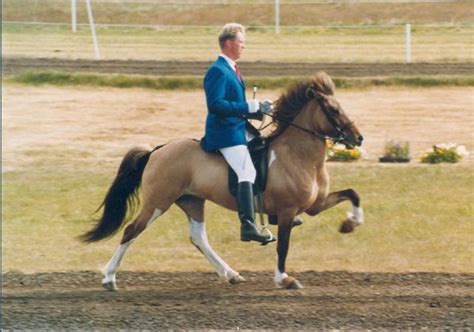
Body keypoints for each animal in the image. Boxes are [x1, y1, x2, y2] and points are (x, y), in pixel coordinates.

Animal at [81, 71, 364, 290]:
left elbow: (353, 193)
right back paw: (109, 278)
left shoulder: (314, 205)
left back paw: (231, 274)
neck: (297, 155)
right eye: (334, 109)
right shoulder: (287, 211)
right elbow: (283, 246)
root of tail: (158, 150)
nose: (358, 138)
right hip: (158, 202)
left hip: (192, 200)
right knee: (131, 230)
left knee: (198, 238)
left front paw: (350, 223)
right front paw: (284, 279)